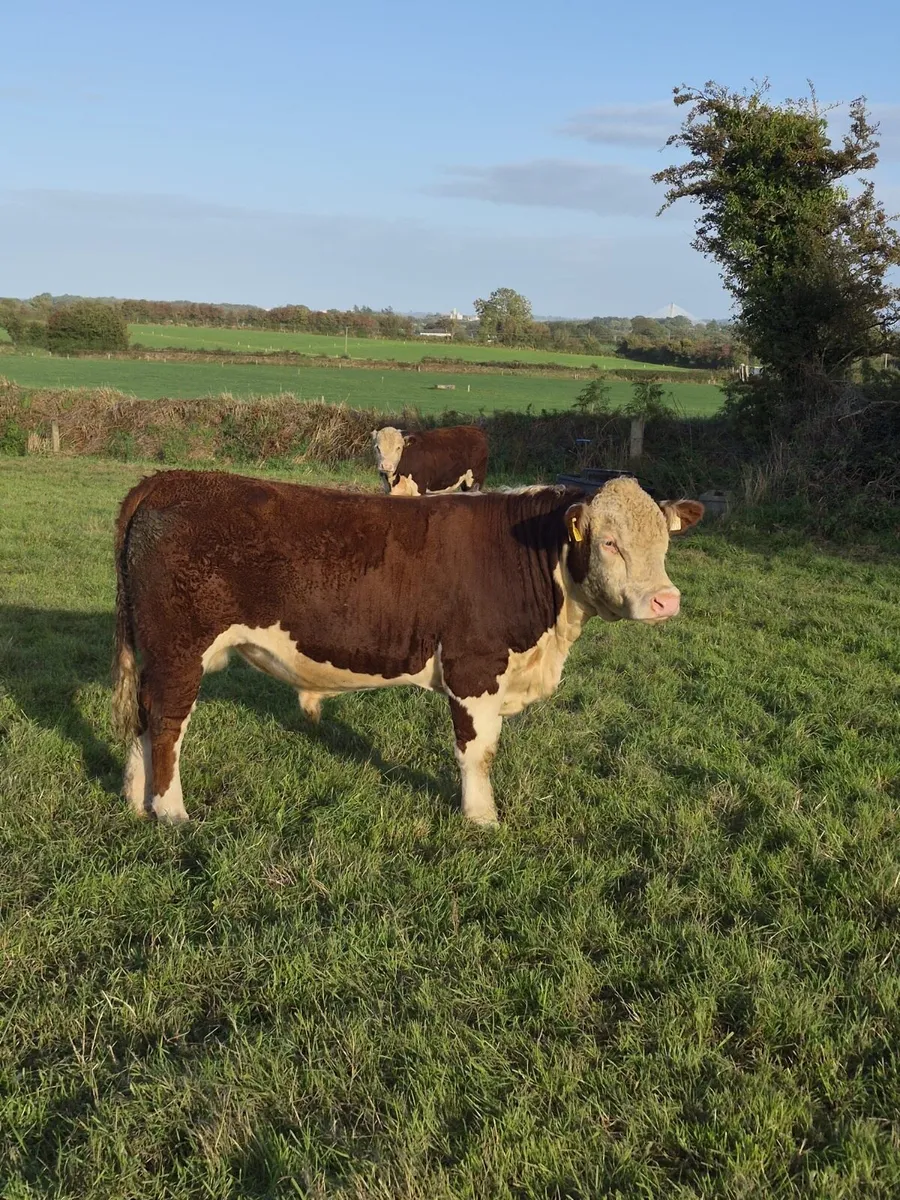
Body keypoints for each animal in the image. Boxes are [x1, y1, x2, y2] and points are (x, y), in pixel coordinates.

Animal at [112, 470, 703, 827]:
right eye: (609, 542)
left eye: (664, 541)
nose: (665, 601)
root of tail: (169, 480)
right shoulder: (473, 669)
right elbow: (478, 752)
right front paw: (482, 820)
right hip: (180, 649)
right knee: (166, 724)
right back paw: (171, 813)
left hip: (155, 653)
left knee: (142, 717)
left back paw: (135, 803)